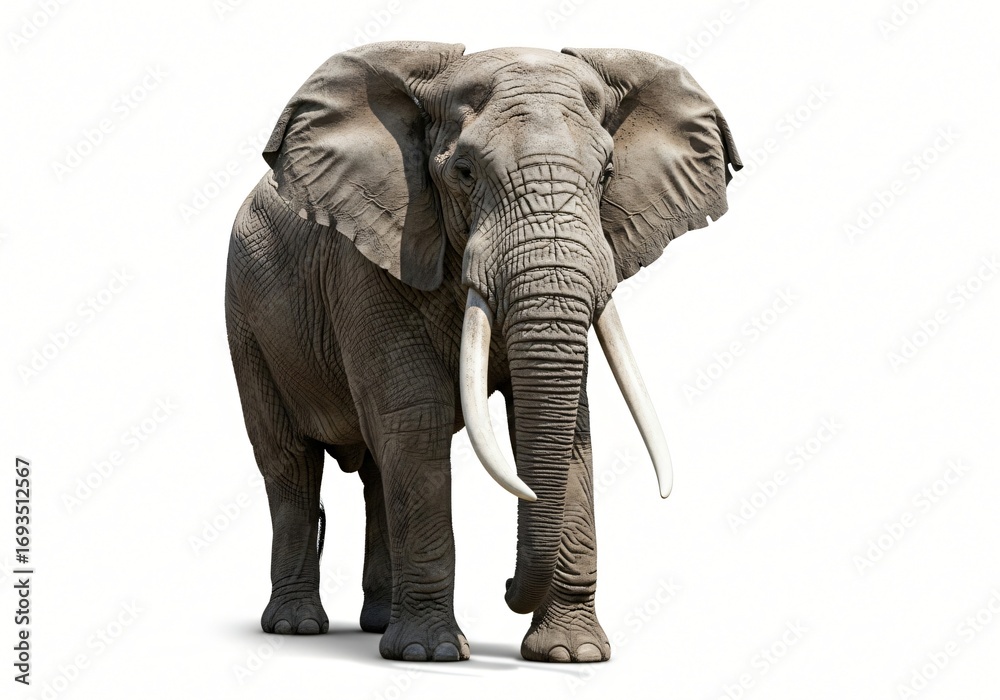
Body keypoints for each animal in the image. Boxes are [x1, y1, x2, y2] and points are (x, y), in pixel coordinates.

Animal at [225, 40, 741, 663]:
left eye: (607, 174)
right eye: (464, 173)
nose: (506, 585)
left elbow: (567, 423)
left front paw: (571, 656)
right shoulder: (369, 257)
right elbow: (415, 415)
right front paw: (431, 656)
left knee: (374, 472)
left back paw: (376, 625)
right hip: (246, 320)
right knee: (290, 464)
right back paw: (296, 627)